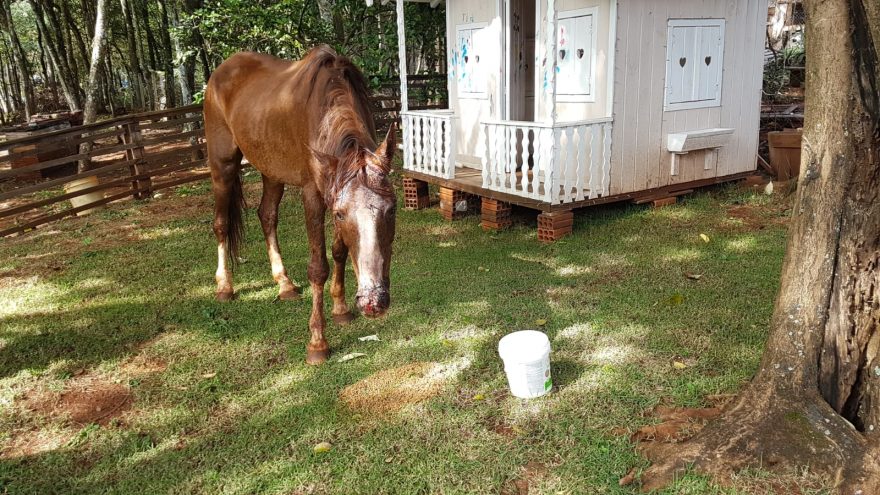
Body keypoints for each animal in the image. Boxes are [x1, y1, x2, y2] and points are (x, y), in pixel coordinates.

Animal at [203, 45, 397, 365]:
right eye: (340, 214)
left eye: (391, 209)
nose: (373, 302)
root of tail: (221, 71)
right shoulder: (314, 196)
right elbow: (318, 266)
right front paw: (317, 342)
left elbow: (339, 251)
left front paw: (341, 309)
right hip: (223, 165)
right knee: (221, 224)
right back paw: (224, 287)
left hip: (271, 170)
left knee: (267, 215)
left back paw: (284, 284)